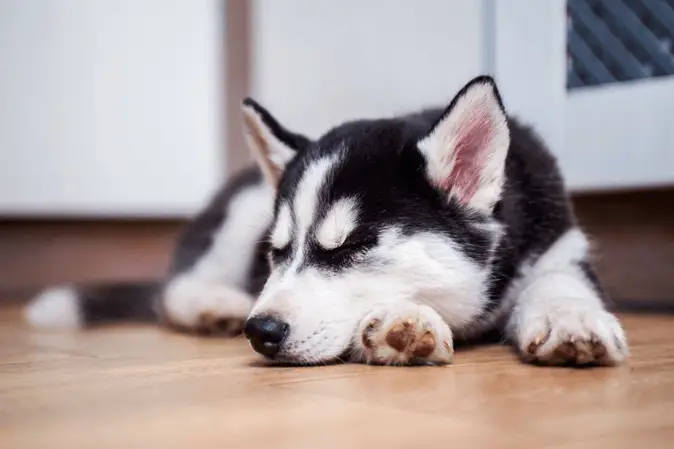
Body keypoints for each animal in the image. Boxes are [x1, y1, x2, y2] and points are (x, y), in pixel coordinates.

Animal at [25, 75, 624, 366]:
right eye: (276, 252)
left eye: (352, 247)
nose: (261, 331)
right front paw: (402, 322)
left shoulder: (559, 245)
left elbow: (559, 283)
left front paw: (570, 318)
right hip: (242, 211)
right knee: (172, 290)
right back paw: (214, 305)